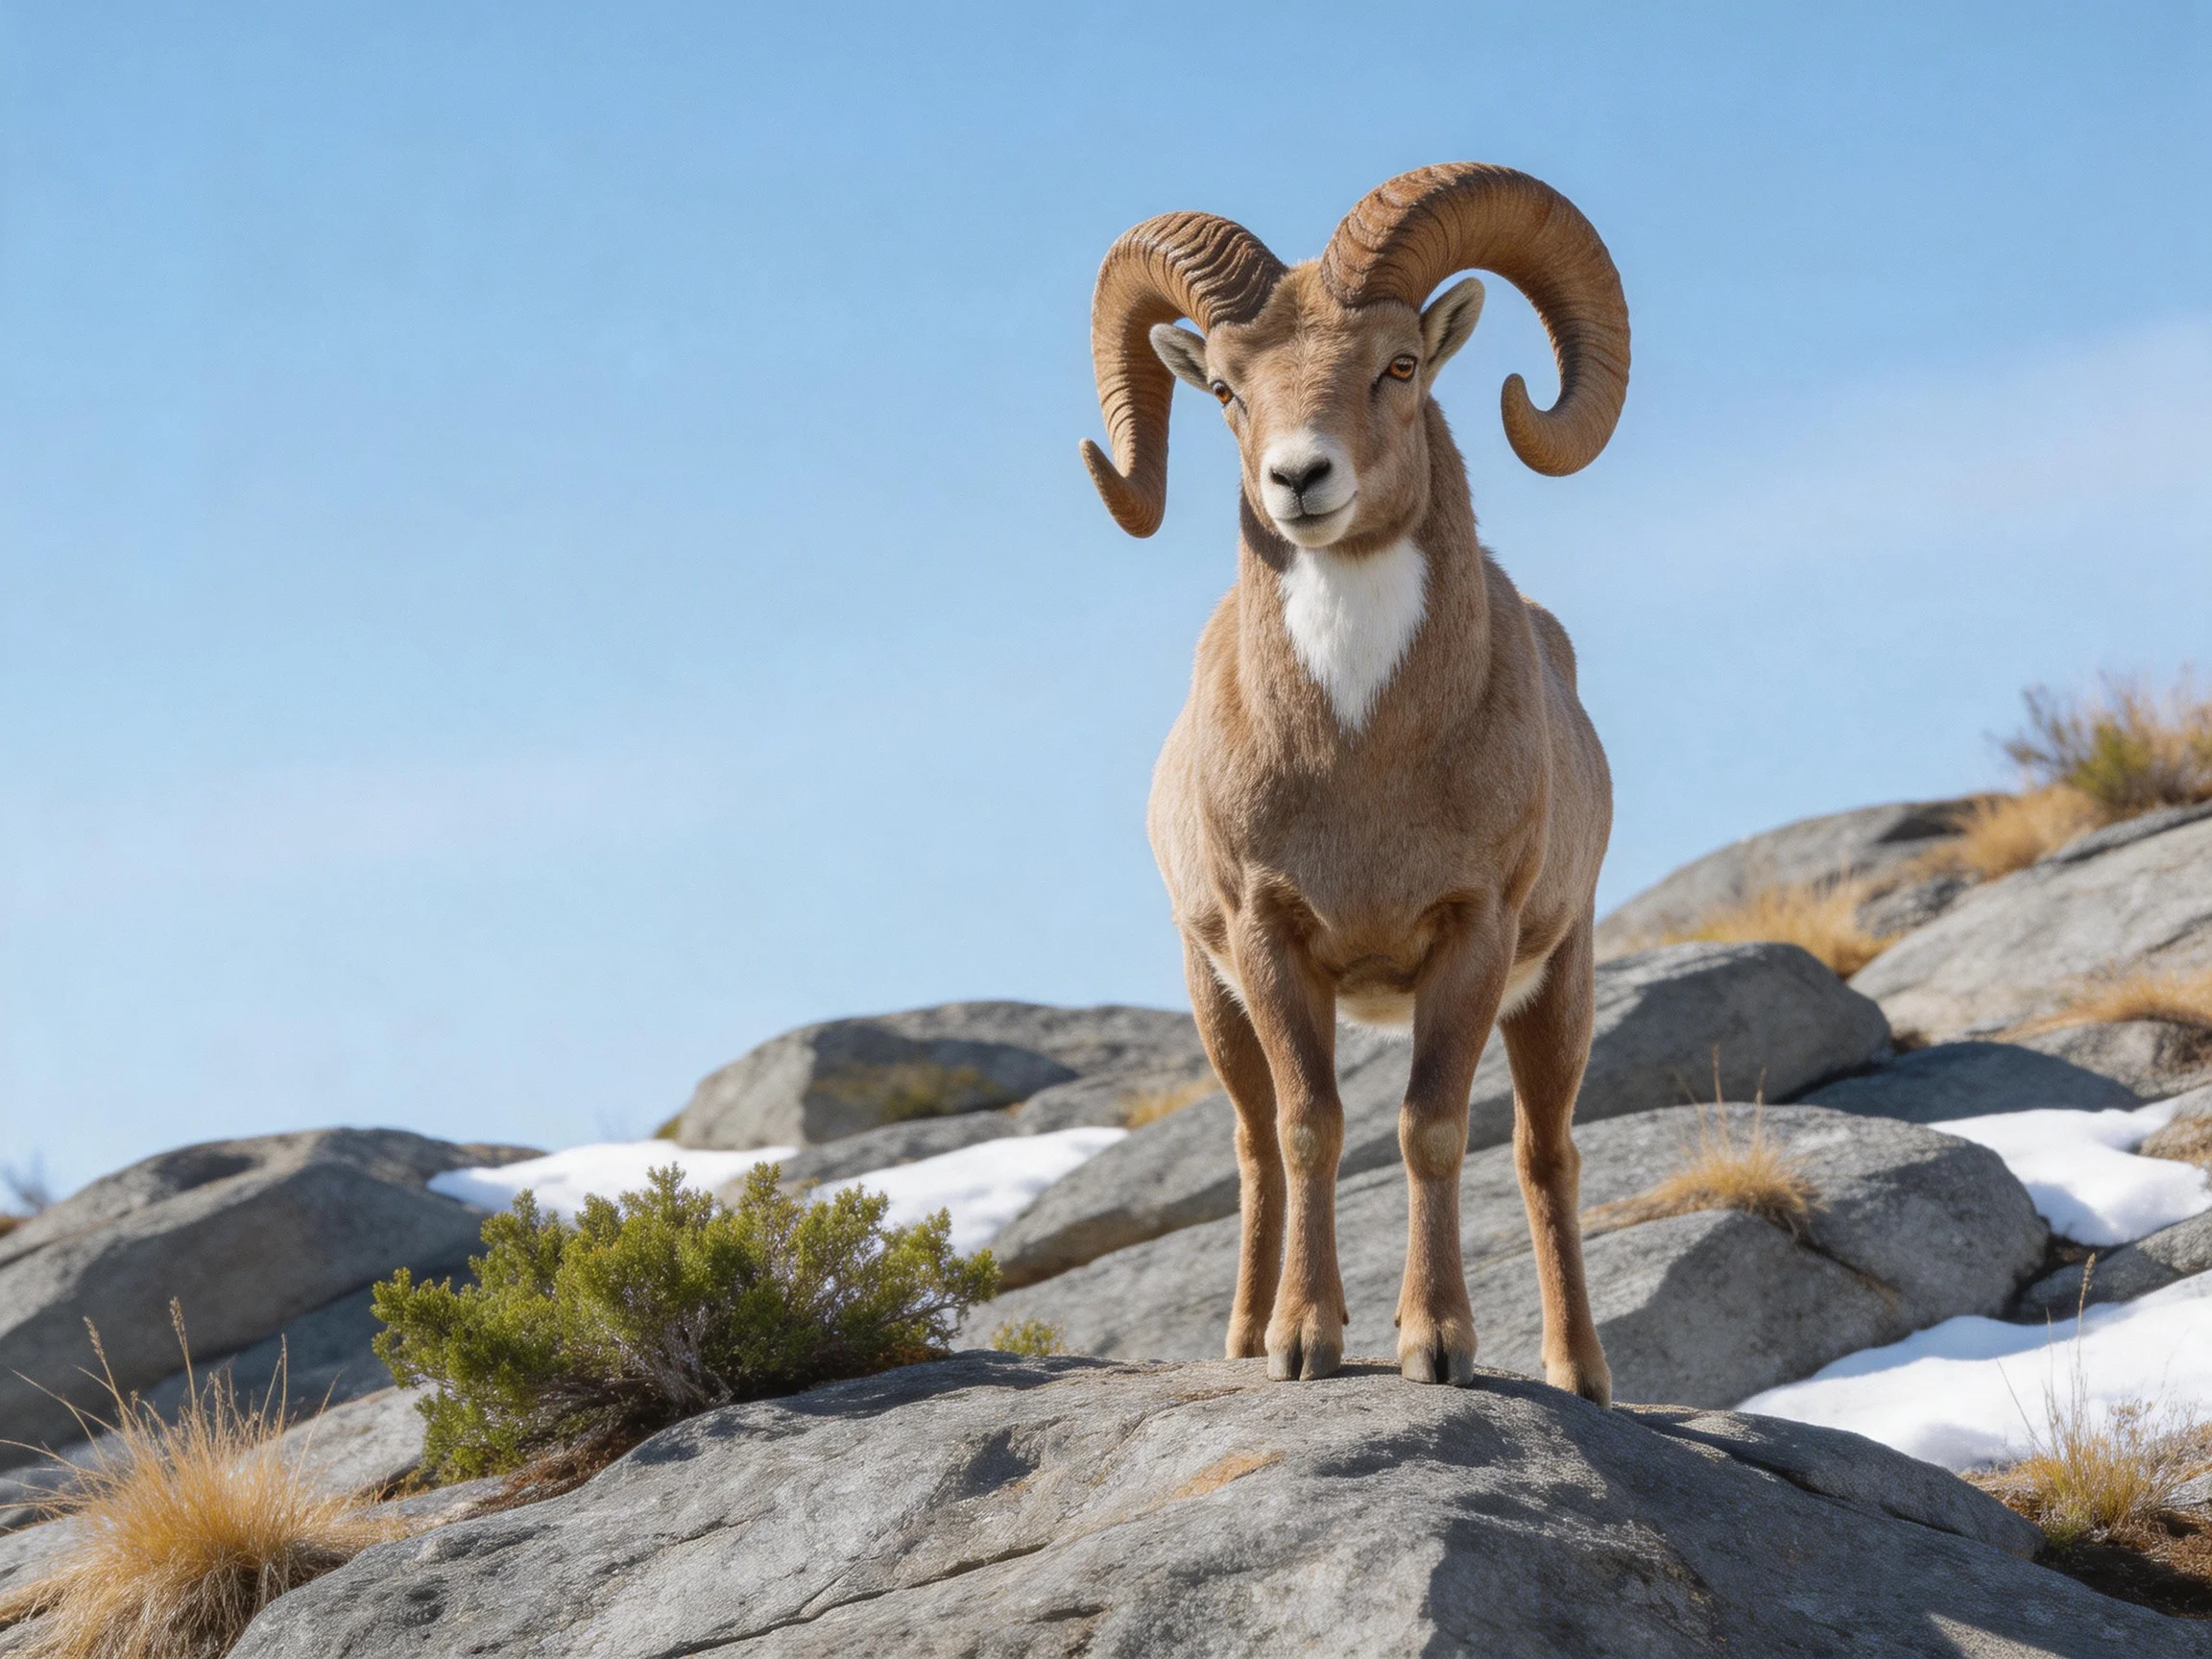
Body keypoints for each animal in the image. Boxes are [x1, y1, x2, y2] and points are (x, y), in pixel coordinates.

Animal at [1079, 164, 1628, 1402]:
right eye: (1226, 389)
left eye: (1400, 364)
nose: (1301, 479)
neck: (1364, 749)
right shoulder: (1268, 939)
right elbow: (1306, 1130)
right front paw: (1302, 1345)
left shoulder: (1475, 933)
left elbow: (1431, 1129)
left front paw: (1436, 1345)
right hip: (1214, 1001)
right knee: (1252, 1148)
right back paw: (1244, 1337)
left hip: (1558, 990)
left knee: (1546, 1155)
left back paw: (1580, 1377)